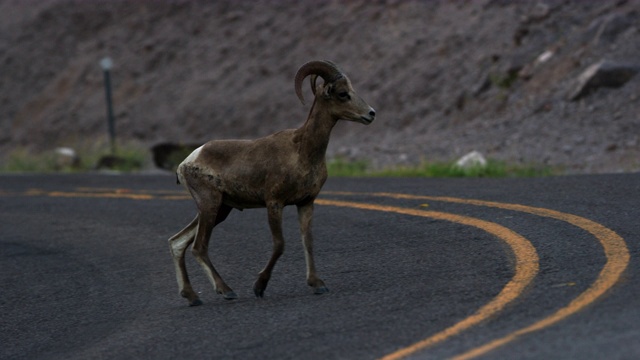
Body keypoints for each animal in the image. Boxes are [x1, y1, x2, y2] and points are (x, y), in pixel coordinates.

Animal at [169, 60, 376, 306]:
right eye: (343, 94)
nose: (371, 114)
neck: (302, 152)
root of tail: (187, 162)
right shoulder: (274, 203)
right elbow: (279, 245)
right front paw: (259, 287)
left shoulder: (306, 203)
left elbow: (308, 242)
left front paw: (317, 284)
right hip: (210, 205)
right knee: (199, 247)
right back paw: (226, 290)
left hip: (221, 210)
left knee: (178, 242)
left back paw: (191, 297)